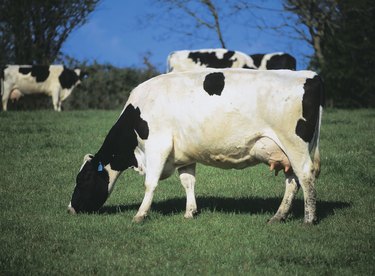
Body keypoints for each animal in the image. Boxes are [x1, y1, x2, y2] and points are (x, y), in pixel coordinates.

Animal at [68, 68, 326, 224]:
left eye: (83, 179)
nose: (70, 209)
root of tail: (309, 75)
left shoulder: (157, 146)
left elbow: (150, 183)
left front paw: (140, 215)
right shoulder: (184, 154)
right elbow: (188, 182)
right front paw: (190, 212)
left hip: (294, 144)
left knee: (305, 177)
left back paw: (309, 219)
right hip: (285, 152)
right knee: (292, 182)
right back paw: (278, 216)